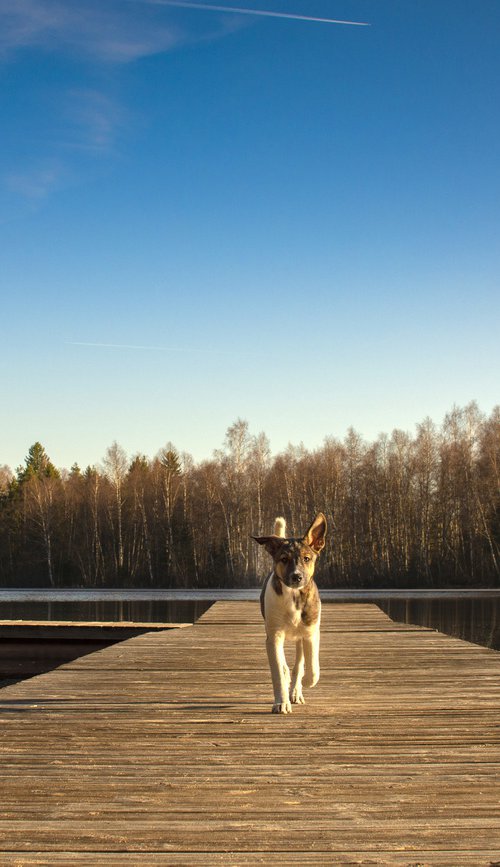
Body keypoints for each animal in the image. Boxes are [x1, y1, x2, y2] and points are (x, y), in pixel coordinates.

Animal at [252, 516, 326, 712]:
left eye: (307, 558)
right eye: (284, 559)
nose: (296, 576)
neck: (294, 596)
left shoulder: (310, 634)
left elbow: (312, 668)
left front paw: (306, 682)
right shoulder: (274, 637)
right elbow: (278, 672)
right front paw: (281, 702)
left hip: (300, 638)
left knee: (299, 665)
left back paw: (297, 691)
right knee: (286, 667)